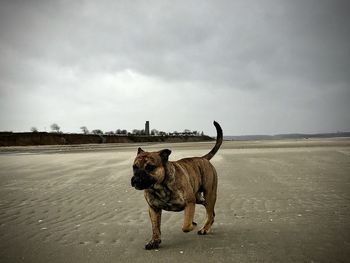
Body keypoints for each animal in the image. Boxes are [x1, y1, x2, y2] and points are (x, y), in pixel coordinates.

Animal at [130, 121, 223, 250]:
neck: (160, 187)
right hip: (200, 198)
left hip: (209, 194)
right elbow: (155, 227)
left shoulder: (189, 203)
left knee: (209, 213)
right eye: (134, 167)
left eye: (150, 167)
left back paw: (204, 229)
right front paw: (154, 241)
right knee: (211, 212)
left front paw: (192, 224)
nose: (136, 179)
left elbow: (186, 226)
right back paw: (207, 227)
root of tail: (203, 158)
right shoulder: (153, 209)